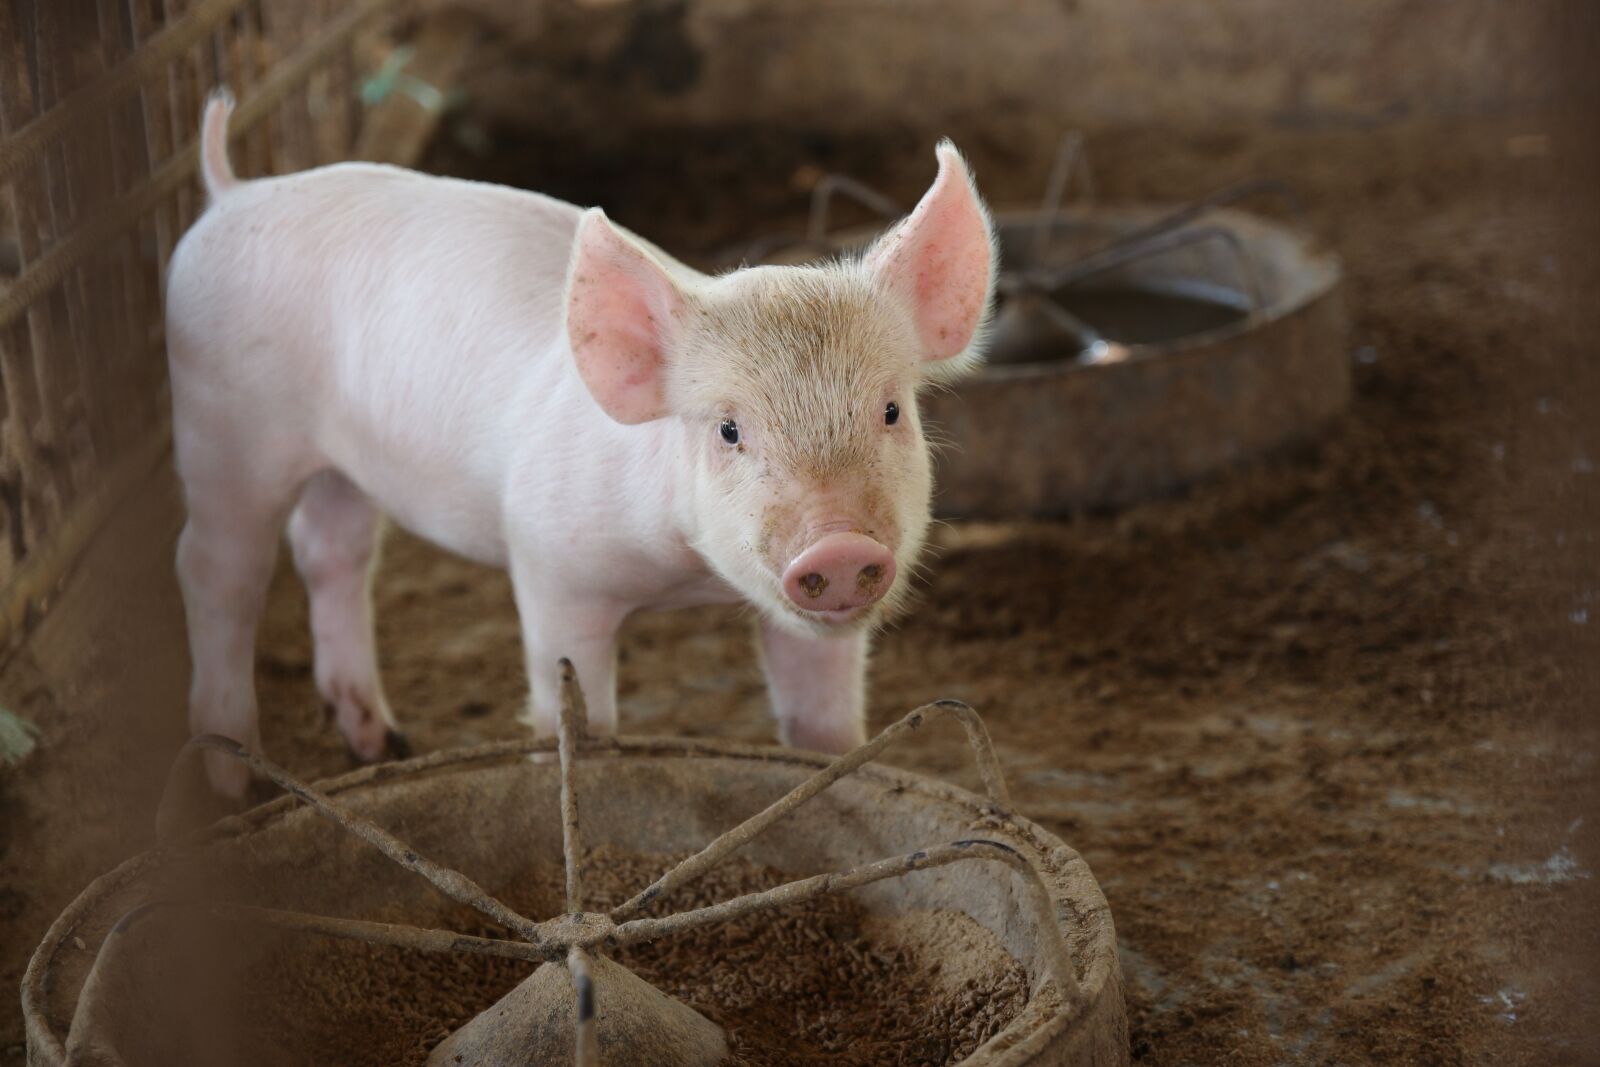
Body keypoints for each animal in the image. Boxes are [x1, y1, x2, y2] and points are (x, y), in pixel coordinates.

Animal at [166, 91, 997, 797]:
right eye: (728, 428)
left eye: (890, 411)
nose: (840, 546)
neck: (686, 577)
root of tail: (230, 190)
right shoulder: (550, 563)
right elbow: (580, 724)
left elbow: (823, 728)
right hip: (223, 429)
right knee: (215, 570)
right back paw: (236, 782)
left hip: (341, 463)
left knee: (331, 549)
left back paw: (382, 743)